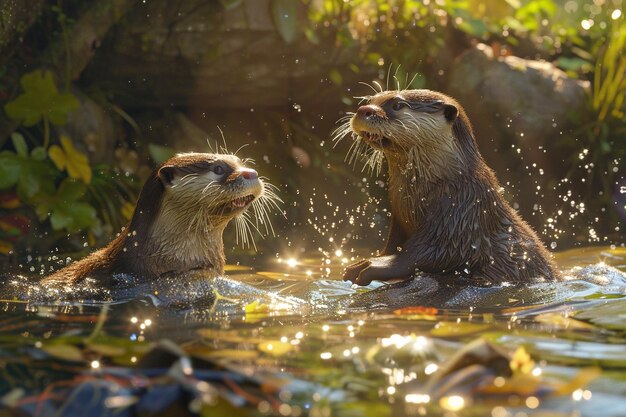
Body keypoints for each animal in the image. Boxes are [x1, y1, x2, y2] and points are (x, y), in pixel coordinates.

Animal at [334, 89, 560, 284]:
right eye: (371, 99)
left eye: (397, 105)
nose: (364, 110)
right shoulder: (400, 218)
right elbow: (394, 245)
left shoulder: (461, 214)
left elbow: (428, 253)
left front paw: (372, 264)